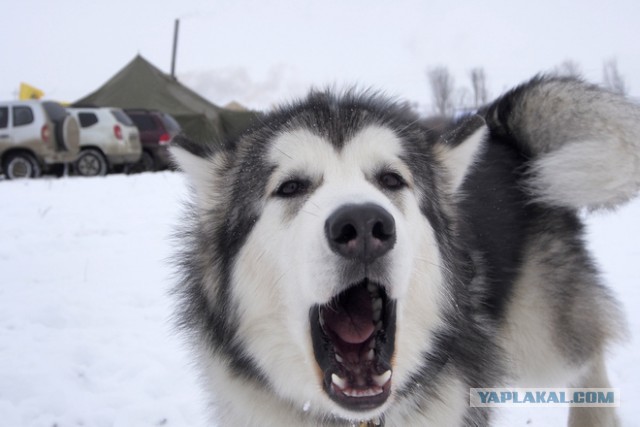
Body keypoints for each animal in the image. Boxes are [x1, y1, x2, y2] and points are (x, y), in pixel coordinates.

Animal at [171, 77, 640, 427]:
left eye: (391, 180)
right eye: (291, 187)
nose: (362, 225)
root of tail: (500, 133)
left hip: (538, 337)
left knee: (587, 357)